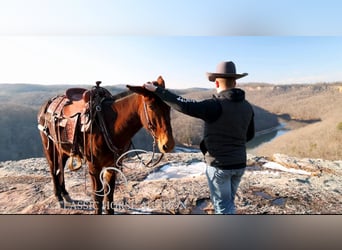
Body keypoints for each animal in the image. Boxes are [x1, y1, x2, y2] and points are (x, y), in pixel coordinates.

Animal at [38, 75, 174, 213]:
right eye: (151, 106)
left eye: (169, 107)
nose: (168, 144)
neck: (109, 125)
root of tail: (47, 104)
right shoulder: (94, 167)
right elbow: (97, 199)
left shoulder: (112, 165)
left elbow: (109, 197)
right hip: (49, 146)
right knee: (53, 169)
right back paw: (58, 197)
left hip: (63, 149)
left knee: (60, 168)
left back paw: (65, 194)